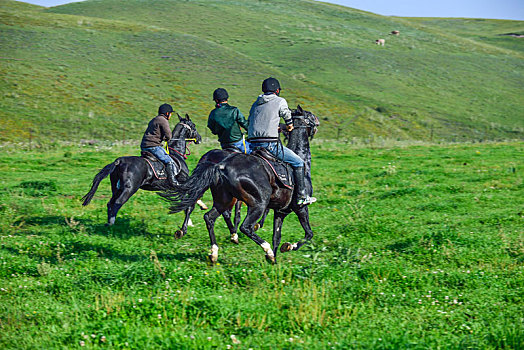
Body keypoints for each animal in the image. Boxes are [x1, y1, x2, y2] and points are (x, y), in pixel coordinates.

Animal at [162, 105, 320, 264]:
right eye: (311, 116)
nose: (317, 124)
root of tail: (221, 165)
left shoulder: (280, 211)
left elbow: (277, 236)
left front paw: (274, 260)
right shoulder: (300, 208)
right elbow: (308, 234)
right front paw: (288, 247)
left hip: (223, 200)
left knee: (207, 216)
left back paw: (213, 252)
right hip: (258, 204)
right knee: (245, 227)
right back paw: (263, 248)